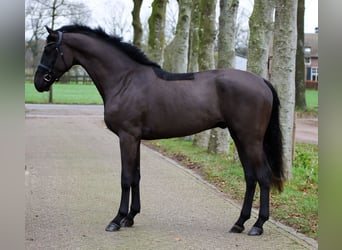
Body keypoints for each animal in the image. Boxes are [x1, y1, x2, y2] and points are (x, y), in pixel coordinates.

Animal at [34, 24, 284, 235]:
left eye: (49, 49)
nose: (38, 82)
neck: (125, 80)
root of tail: (262, 82)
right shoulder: (135, 139)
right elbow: (136, 176)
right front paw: (130, 217)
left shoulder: (127, 137)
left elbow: (125, 177)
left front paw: (117, 220)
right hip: (239, 137)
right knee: (250, 177)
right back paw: (239, 223)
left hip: (250, 139)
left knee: (263, 176)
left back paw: (258, 225)